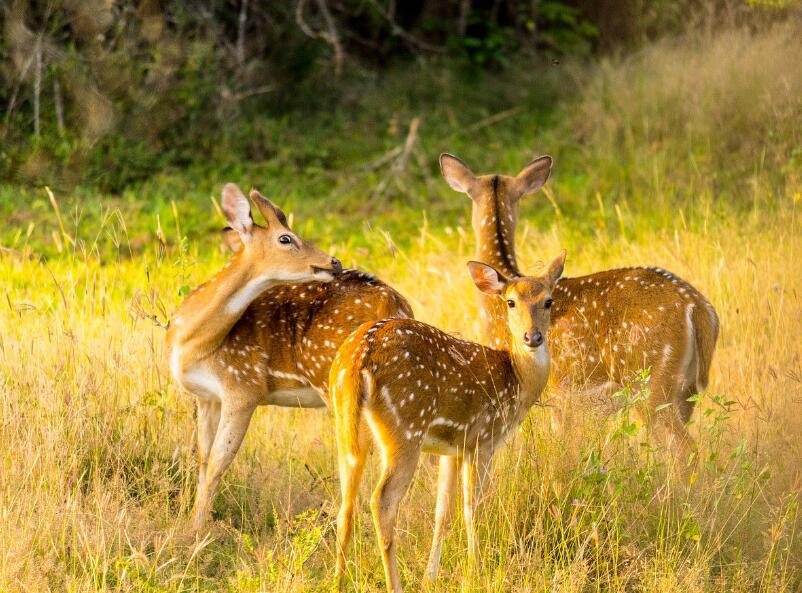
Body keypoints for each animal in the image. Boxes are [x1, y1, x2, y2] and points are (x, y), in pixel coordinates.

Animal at [165, 183, 410, 528]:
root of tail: (397, 305)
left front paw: (196, 528)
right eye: (286, 238)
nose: (334, 262)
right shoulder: (206, 396)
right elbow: (202, 457)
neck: (194, 345)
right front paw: (194, 519)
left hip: (337, 382)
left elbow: (217, 463)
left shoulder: (244, 386)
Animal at [328, 250, 564, 592]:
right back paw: (394, 584)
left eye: (548, 300)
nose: (532, 337)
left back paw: (338, 580)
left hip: (347, 427)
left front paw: (431, 576)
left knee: (346, 504)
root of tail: (360, 358)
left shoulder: (450, 449)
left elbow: (443, 512)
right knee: (381, 500)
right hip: (406, 427)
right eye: (510, 301)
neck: (515, 379)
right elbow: (472, 507)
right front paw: (476, 569)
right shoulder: (482, 438)